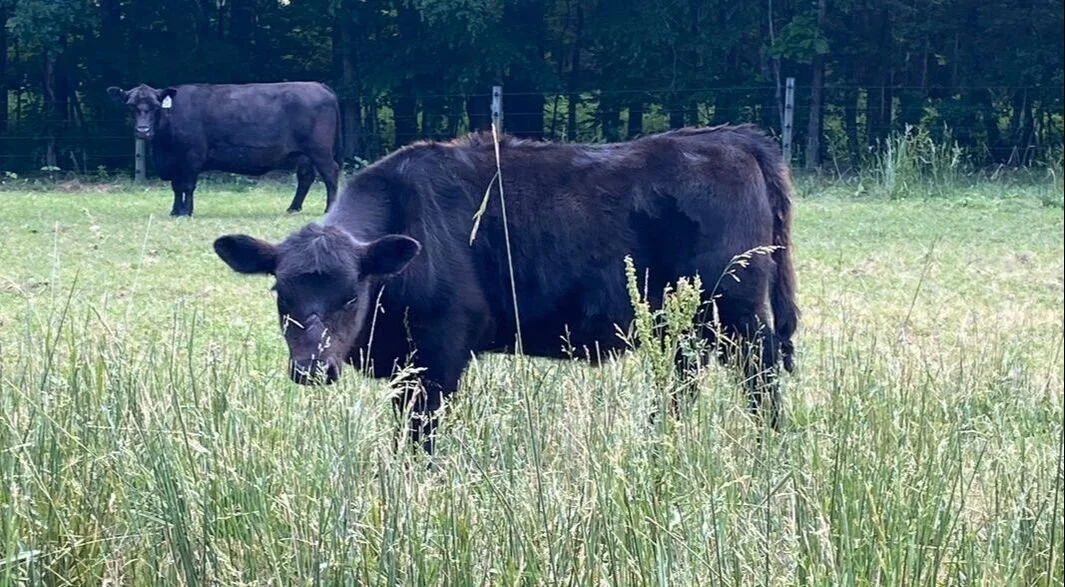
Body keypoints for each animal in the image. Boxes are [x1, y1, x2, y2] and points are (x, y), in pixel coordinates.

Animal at [106, 81, 341, 217]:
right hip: (303, 155)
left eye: (155, 106)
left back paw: (329, 209)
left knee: (331, 173)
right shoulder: (174, 162)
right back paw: (293, 208)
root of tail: (320, 86)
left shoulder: (192, 156)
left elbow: (187, 186)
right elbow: (176, 187)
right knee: (306, 177)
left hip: (319, 150)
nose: (143, 131)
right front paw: (175, 211)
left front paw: (186, 211)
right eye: (130, 106)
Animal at [212, 124, 800, 455]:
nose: (311, 368)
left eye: (352, 294)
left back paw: (770, 447)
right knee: (681, 381)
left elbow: (419, 436)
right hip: (685, 324)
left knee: (762, 379)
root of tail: (730, 139)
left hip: (738, 313)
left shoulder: (440, 354)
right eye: (281, 295)